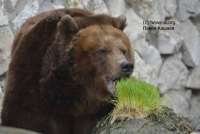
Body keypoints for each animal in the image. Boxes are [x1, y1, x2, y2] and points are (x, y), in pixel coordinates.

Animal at [1, 8, 134, 134]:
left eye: (123, 50)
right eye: (102, 51)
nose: (126, 66)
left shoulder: (94, 111)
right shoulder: (33, 86)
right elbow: (25, 118)